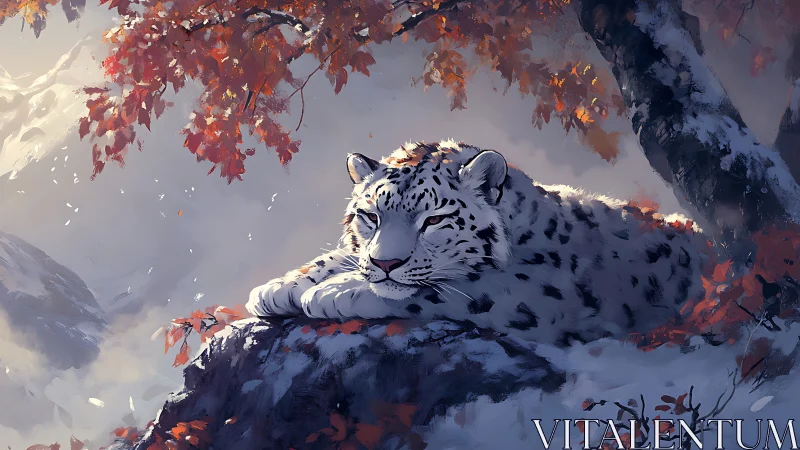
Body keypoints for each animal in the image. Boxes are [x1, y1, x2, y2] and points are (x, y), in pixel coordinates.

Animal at [245, 139, 709, 345]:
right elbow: (342, 255)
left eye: (434, 219)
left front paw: (335, 292)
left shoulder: (537, 293)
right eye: (371, 216)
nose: (386, 265)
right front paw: (279, 288)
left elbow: (456, 290)